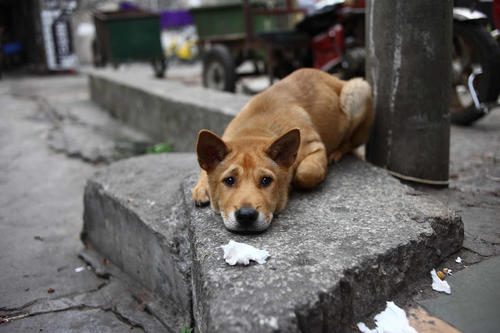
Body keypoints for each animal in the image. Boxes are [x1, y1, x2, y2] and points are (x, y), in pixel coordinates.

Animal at [193, 68, 374, 231]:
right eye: (229, 180)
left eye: (266, 180)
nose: (246, 216)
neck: (254, 129)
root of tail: (334, 77)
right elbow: (202, 170)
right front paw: (201, 187)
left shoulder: (316, 146)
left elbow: (306, 173)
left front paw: (292, 185)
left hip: (359, 89)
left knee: (350, 143)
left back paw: (337, 152)